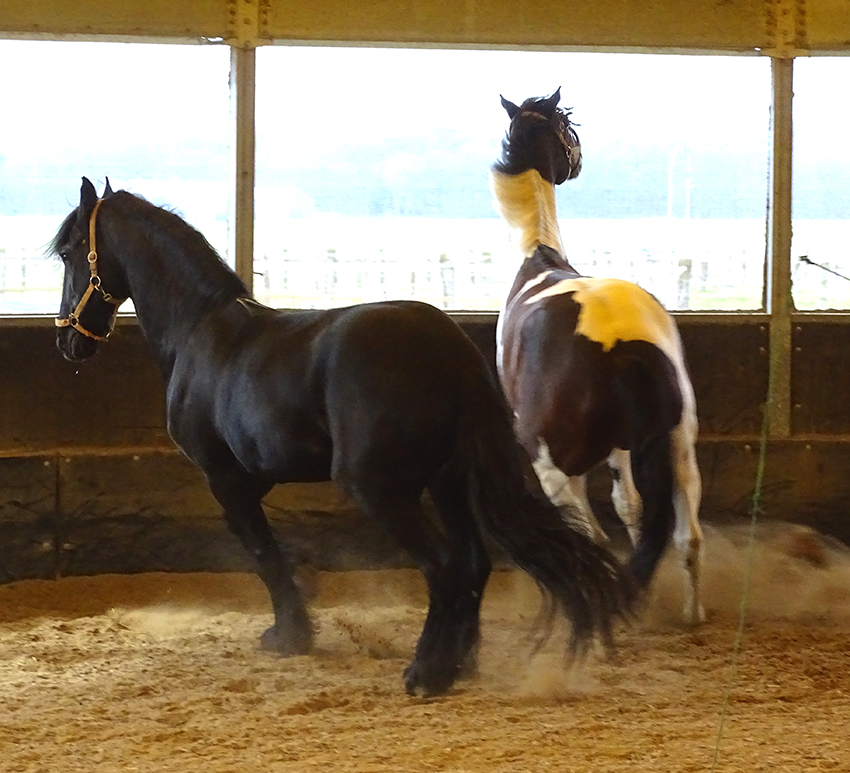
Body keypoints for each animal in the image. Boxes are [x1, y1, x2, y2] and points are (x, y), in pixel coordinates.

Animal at [51, 177, 632, 697]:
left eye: (70, 251)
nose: (68, 342)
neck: (200, 331)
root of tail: (446, 345)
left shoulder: (226, 479)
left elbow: (264, 554)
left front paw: (291, 636)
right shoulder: (255, 479)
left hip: (380, 490)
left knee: (444, 566)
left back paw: (427, 674)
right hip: (447, 482)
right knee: (473, 563)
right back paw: (460, 663)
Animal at [491, 90, 704, 624]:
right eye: (569, 128)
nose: (580, 158)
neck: (539, 257)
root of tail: (620, 347)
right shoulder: (624, 449)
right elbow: (631, 508)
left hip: (555, 468)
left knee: (590, 541)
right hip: (680, 446)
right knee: (687, 536)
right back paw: (691, 613)